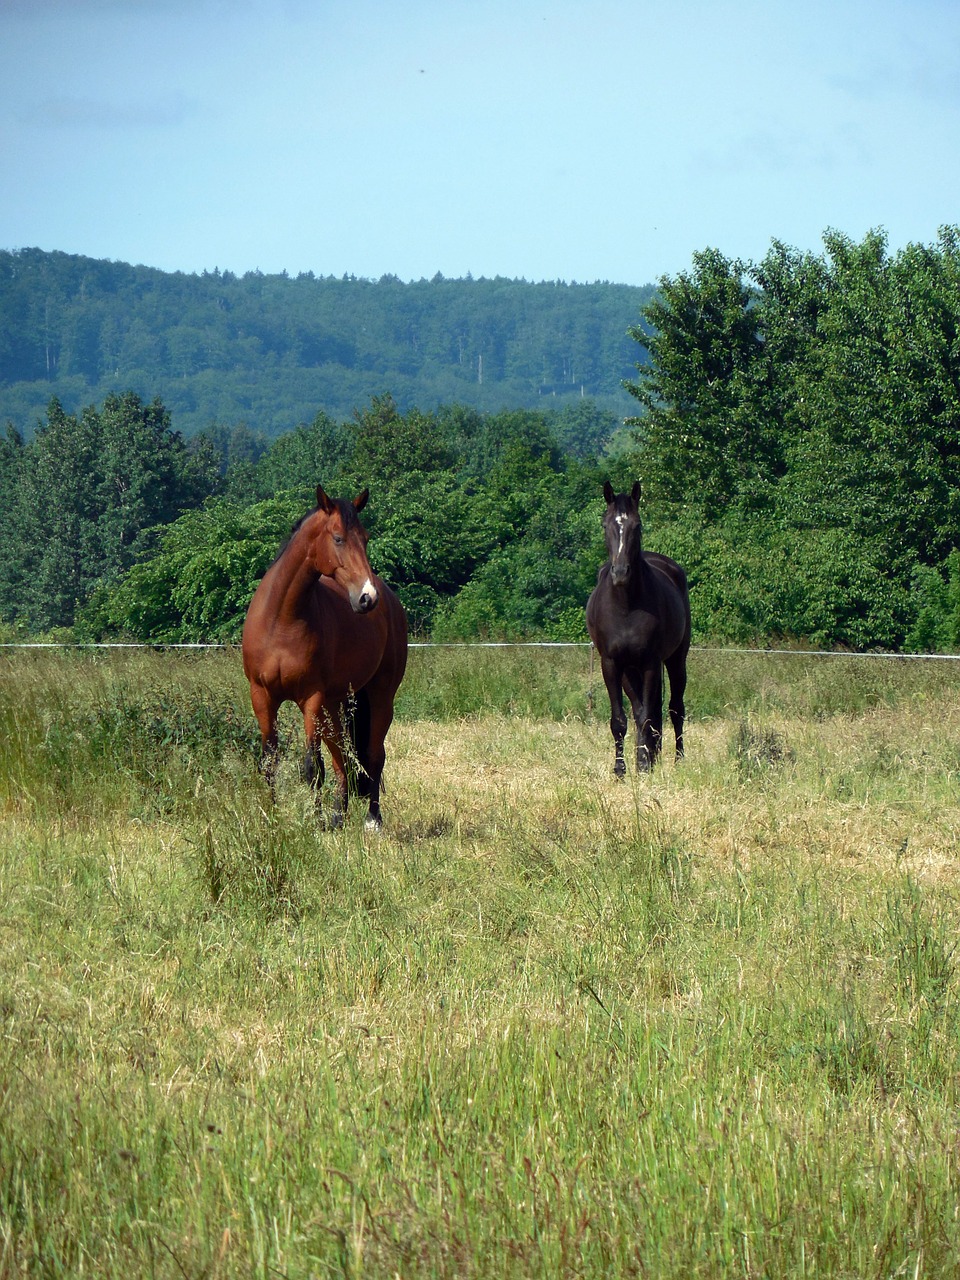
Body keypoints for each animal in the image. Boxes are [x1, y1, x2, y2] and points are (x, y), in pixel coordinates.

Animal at [241, 481, 407, 829]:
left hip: (380, 694)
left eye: (365, 538)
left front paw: (313, 822)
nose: (367, 597)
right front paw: (273, 817)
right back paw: (337, 817)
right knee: (342, 758)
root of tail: (391, 600)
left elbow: (311, 767)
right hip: (334, 704)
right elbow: (270, 762)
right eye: (338, 538)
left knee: (374, 755)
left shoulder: (311, 699)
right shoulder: (261, 696)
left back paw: (372, 820)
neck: (282, 620)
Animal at [586, 481, 691, 773]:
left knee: (674, 709)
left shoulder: (650, 663)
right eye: (605, 524)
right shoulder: (611, 664)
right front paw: (621, 770)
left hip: (676, 659)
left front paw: (644, 767)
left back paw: (676, 760)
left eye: (637, 525)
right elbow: (620, 720)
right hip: (628, 670)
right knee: (639, 710)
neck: (625, 606)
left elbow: (647, 717)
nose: (620, 572)